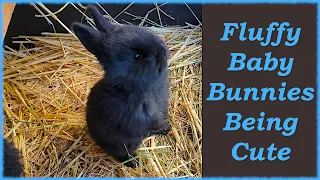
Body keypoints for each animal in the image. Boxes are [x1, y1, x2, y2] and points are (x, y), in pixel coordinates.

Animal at [72, 5, 171, 167]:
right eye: (137, 56)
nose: (163, 51)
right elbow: (154, 124)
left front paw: (167, 128)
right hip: (125, 144)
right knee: (121, 154)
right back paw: (133, 162)